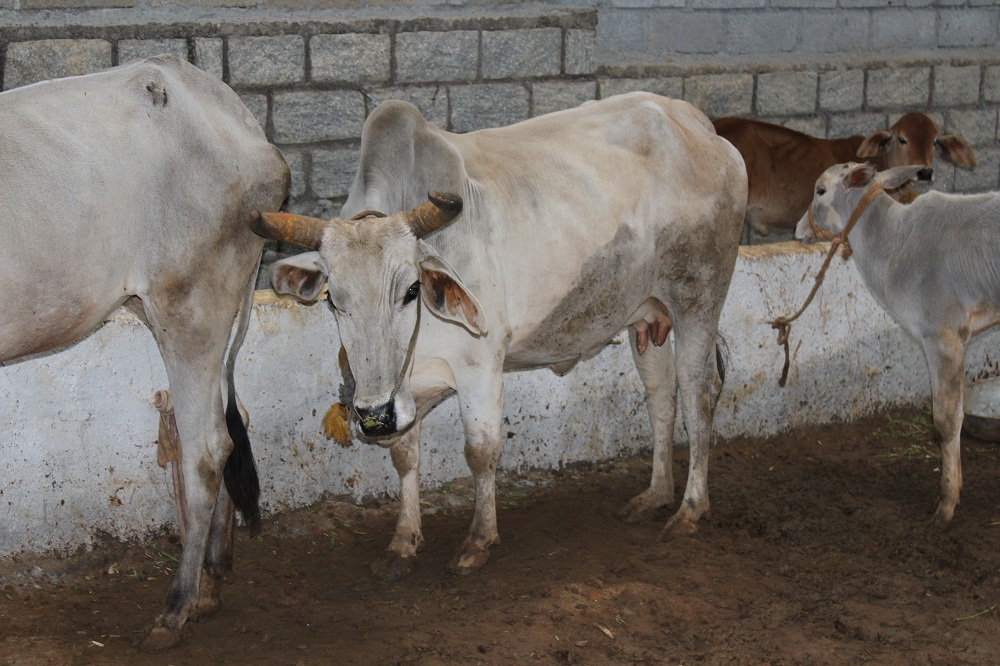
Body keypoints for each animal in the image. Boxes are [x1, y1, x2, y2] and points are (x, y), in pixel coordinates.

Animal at [254, 94, 748, 580]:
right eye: (333, 300)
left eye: (411, 289)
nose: (372, 416)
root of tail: (701, 126)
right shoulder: (406, 391)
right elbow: (406, 457)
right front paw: (403, 542)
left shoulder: (481, 367)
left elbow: (480, 451)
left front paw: (478, 540)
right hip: (646, 315)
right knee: (662, 397)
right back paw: (656, 494)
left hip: (697, 300)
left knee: (699, 395)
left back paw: (689, 509)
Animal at [796, 162, 1000, 524]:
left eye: (820, 190)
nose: (798, 228)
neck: (894, 243)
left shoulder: (943, 338)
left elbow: (946, 421)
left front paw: (946, 504)